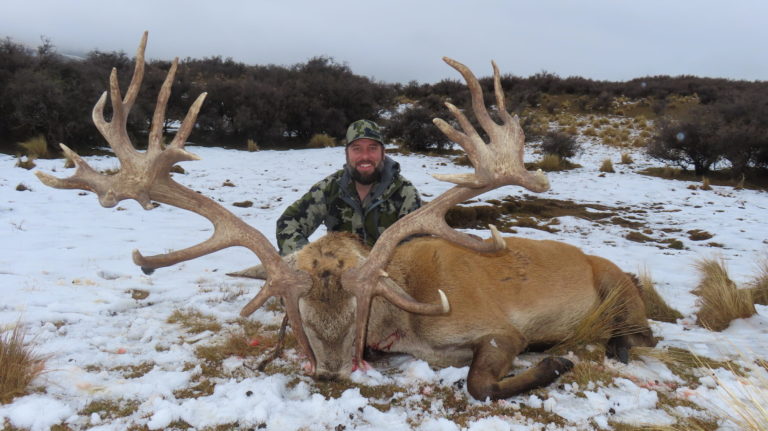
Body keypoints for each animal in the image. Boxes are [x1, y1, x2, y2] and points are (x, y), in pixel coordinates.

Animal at [37, 33, 656, 401]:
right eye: (303, 321)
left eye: (363, 308)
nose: (334, 372)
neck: (409, 323)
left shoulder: (501, 326)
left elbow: (479, 382)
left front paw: (555, 365)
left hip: (617, 285)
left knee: (640, 330)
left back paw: (609, 346)